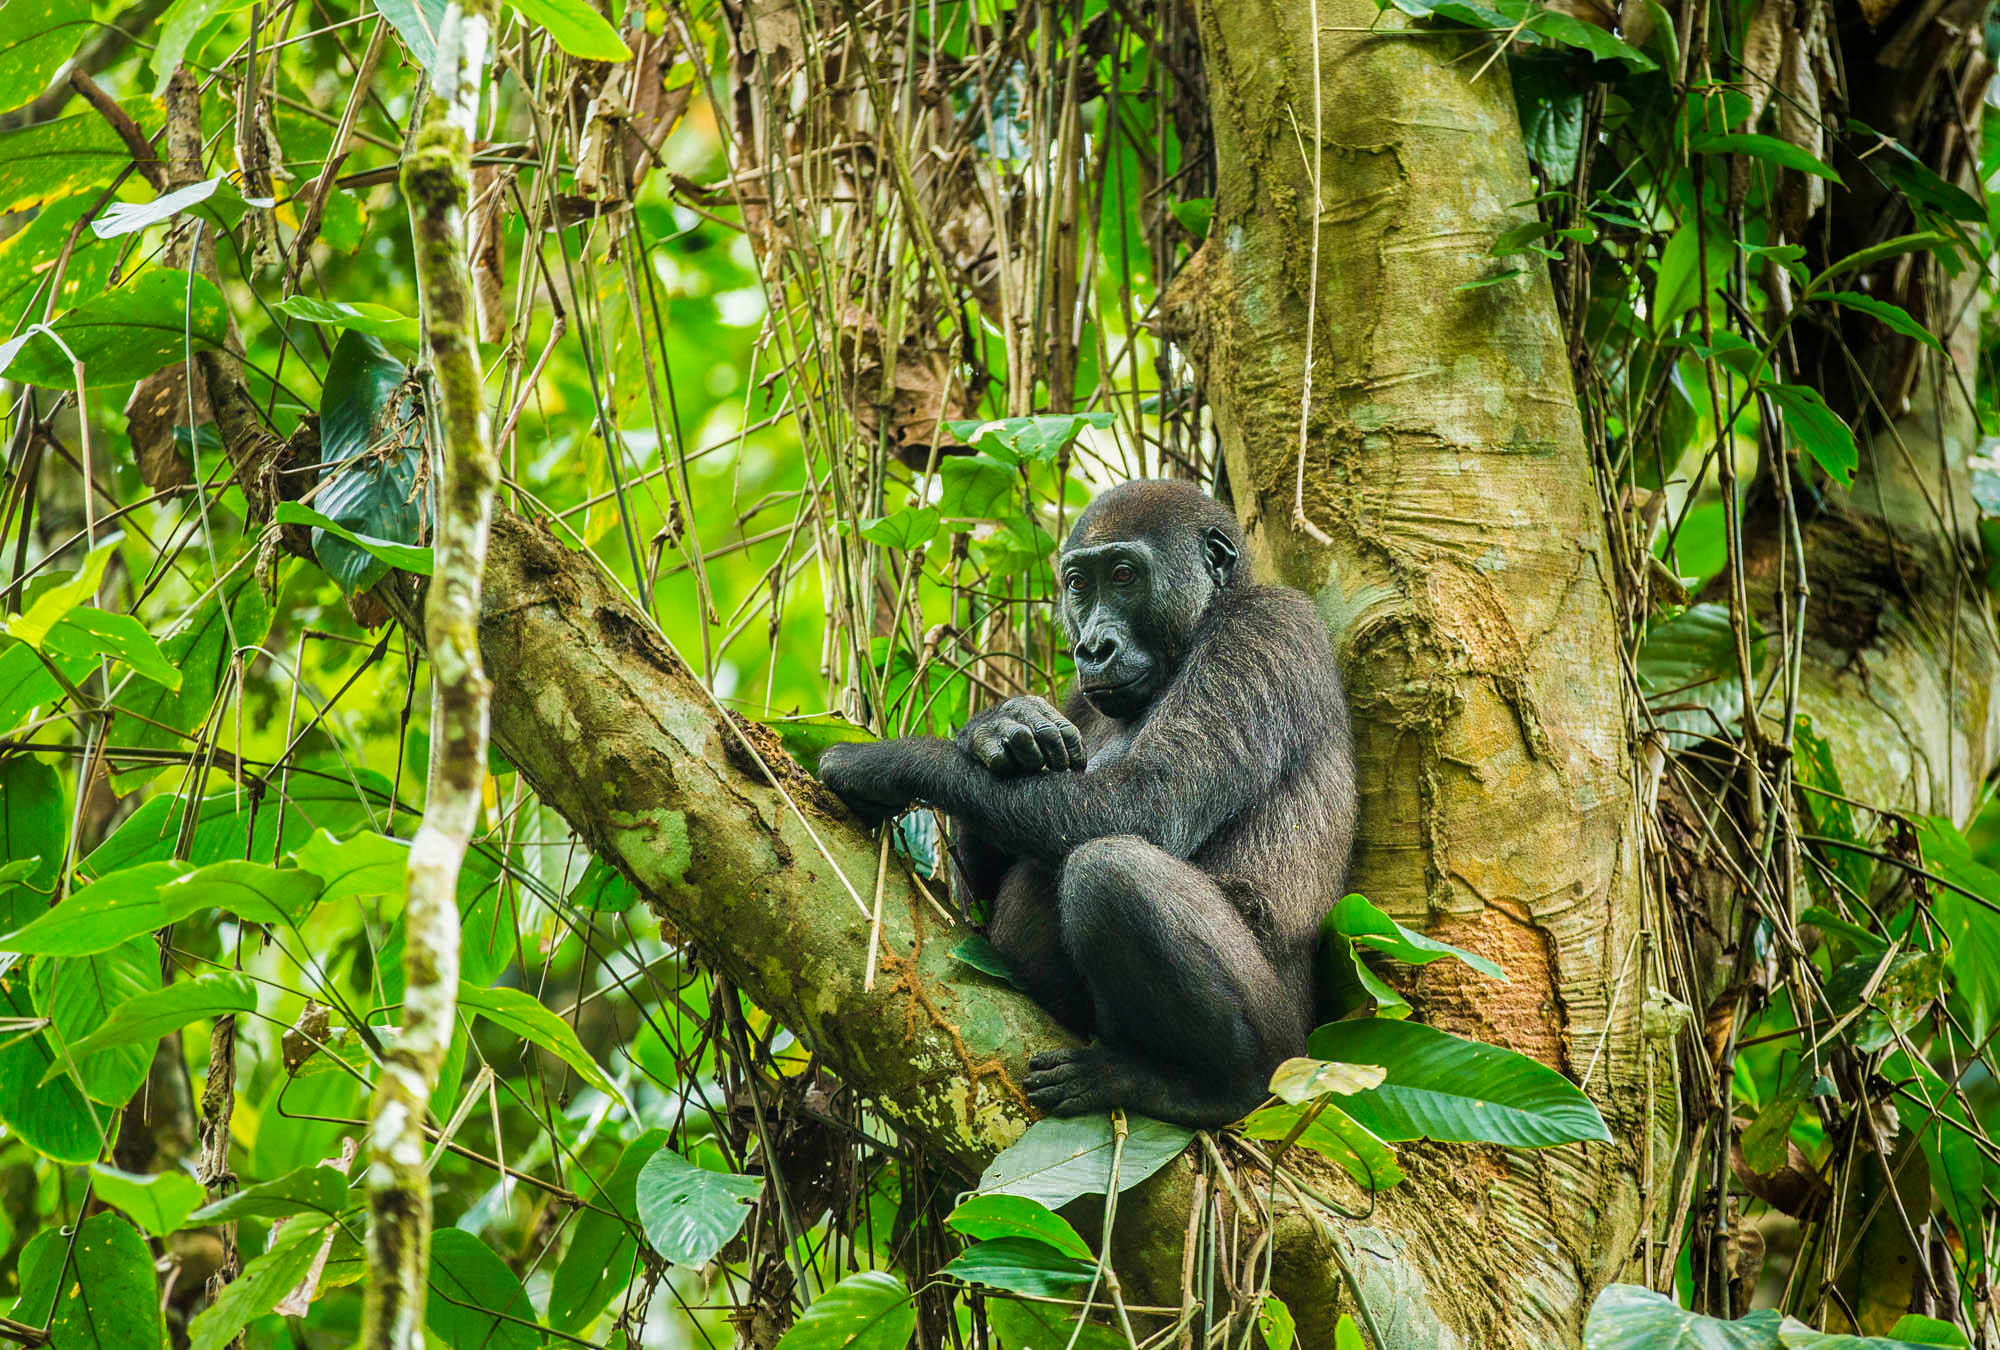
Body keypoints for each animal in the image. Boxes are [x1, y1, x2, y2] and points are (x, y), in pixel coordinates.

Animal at [817, 479, 1356, 1128]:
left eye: (1123, 575)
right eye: (1078, 584)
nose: (1093, 646)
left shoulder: (1266, 629)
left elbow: (1141, 806)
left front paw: (889, 762)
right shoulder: (1079, 698)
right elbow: (978, 898)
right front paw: (1002, 726)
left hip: (1294, 1058)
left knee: (1109, 871)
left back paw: (1214, 1088)